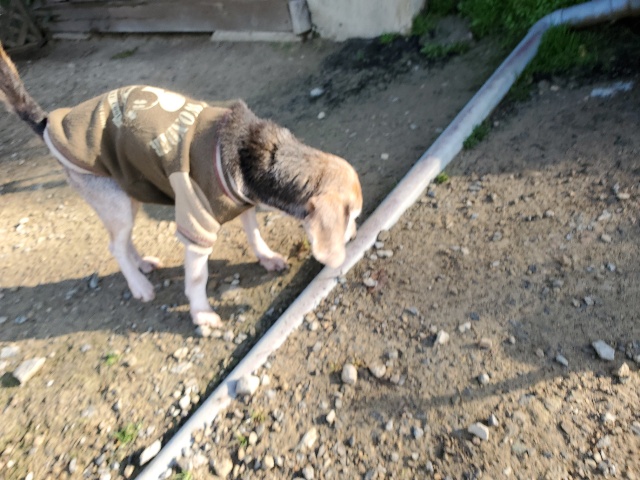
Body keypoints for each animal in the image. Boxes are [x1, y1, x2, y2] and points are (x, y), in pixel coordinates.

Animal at [0, 43, 362, 330]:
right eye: (352, 216)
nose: (356, 235)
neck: (259, 151)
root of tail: (49, 122)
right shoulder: (196, 226)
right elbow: (198, 277)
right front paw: (201, 314)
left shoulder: (242, 202)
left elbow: (254, 233)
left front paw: (267, 257)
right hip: (114, 200)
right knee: (115, 246)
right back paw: (139, 285)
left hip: (128, 191)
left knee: (124, 241)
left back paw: (142, 264)